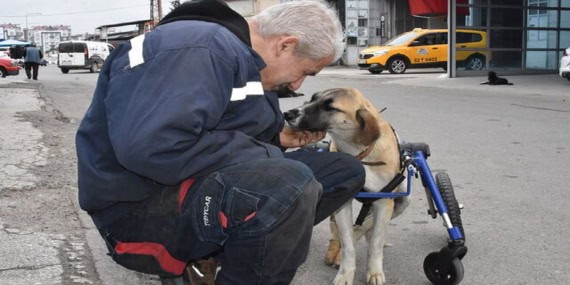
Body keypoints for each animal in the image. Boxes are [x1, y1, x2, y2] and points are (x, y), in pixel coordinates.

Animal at [284, 87, 408, 282]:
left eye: (330, 107)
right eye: (312, 99)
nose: (287, 114)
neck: (359, 153)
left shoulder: (384, 201)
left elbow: (376, 241)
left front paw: (374, 272)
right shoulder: (343, 203)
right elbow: (347, 242)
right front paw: (345, 274)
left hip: (402, 201)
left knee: (367, 225)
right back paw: (336, 250)